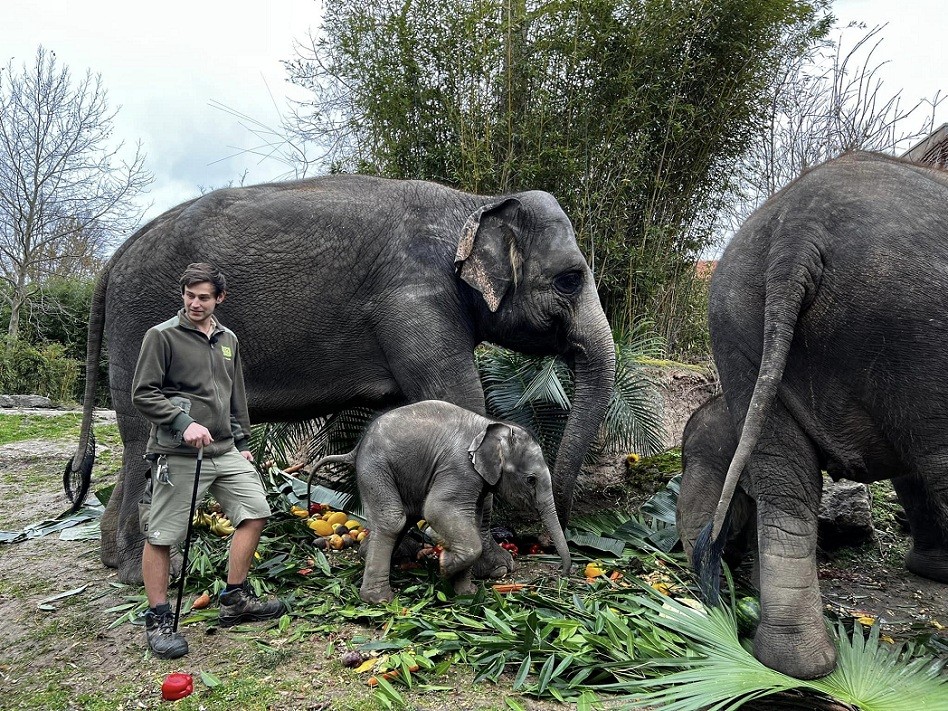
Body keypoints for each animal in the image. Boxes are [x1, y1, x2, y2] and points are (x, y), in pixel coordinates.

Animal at [314, 398, 572, 604]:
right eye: (531, 480)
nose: (562, 572)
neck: (490, 427)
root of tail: (356, 448)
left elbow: (471, 520)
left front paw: (467, 593)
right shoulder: (460, 468)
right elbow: (437, 509)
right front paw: (445, 564)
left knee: (406, 517)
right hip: (375, 468)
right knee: (393, 519)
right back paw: (380, 600)